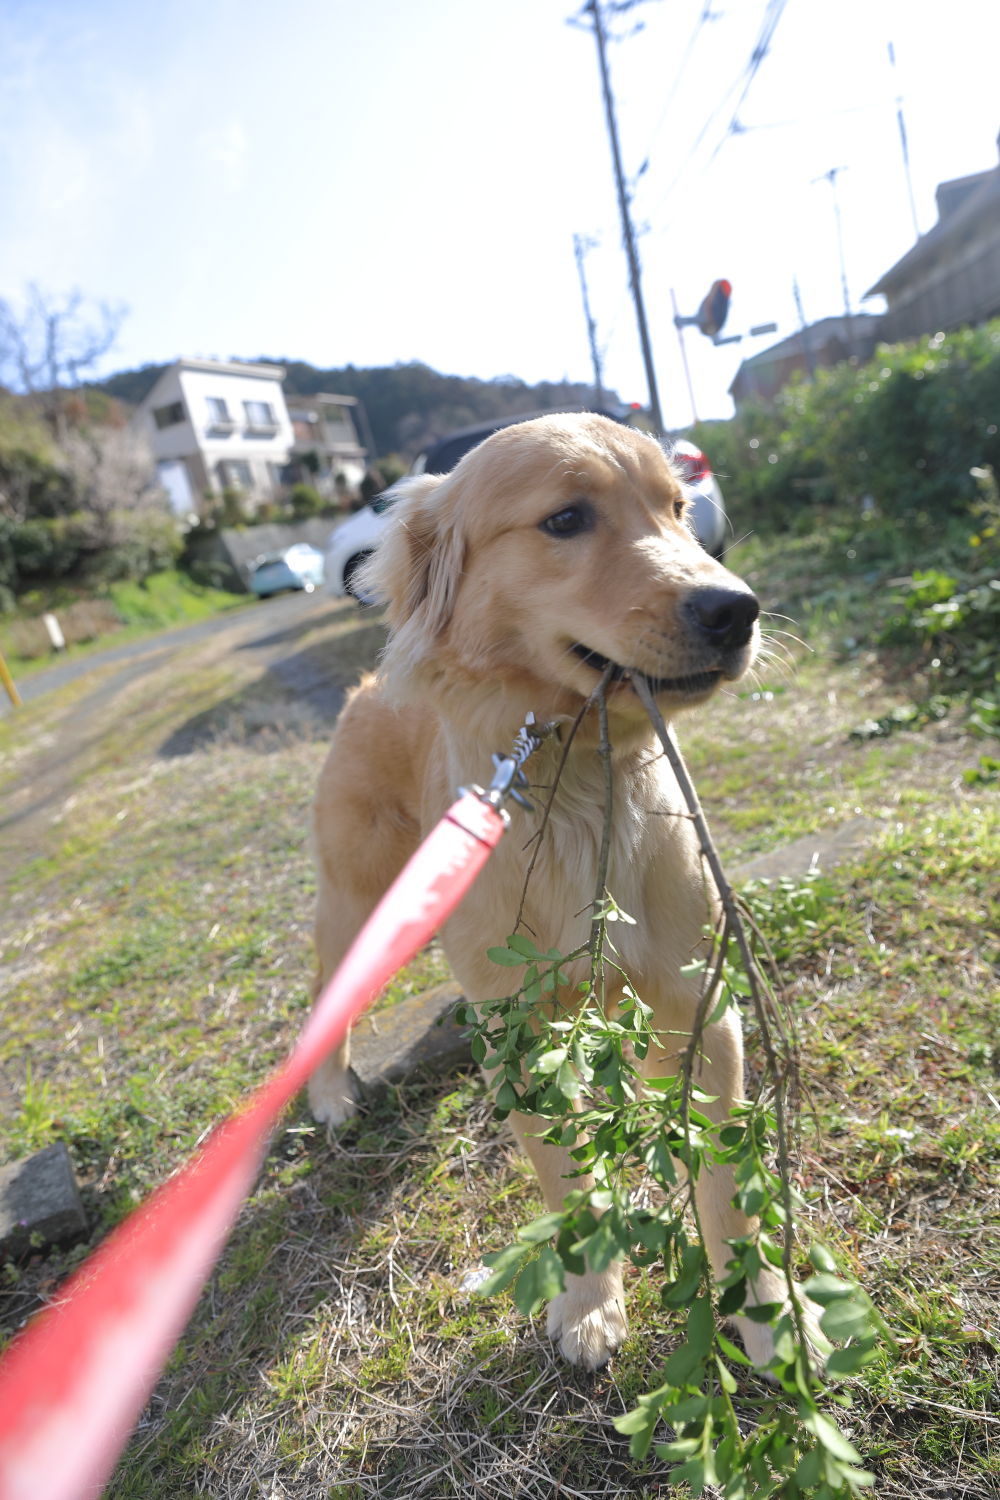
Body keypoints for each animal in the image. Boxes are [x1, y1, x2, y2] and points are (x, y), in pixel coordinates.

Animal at [308, 411, 803, 1374]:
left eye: (678, 507)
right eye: (566, 520)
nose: (737, 609)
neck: (578, 785)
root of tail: (364, 688)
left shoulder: (695, 1002)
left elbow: (727, 1184)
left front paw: (760, 1310)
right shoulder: (522, 1037)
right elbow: (566, 1178)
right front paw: (588, 1303)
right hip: (358, 900)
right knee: (323, 994)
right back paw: (329, 1095)